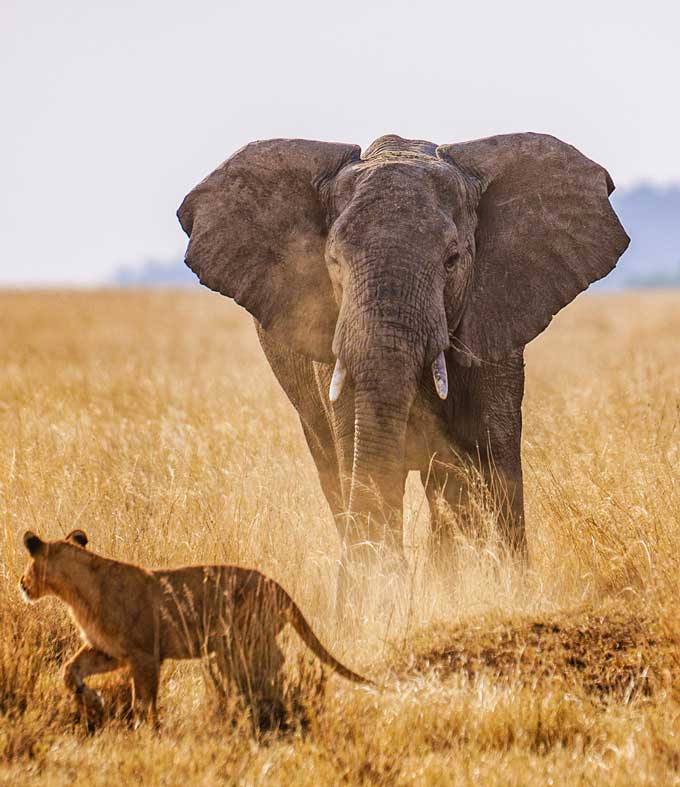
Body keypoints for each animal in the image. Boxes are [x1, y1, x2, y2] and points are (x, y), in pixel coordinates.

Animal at [19, 529, 371, 727]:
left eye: (28, 565)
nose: (21, 583)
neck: (74, 593)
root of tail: (279, 587)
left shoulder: (145, 654)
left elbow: (143, 700)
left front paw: (145, 732)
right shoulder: (109, 651)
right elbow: (69, 670)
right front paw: (92, 700)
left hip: (240, 640)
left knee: (270, 666)